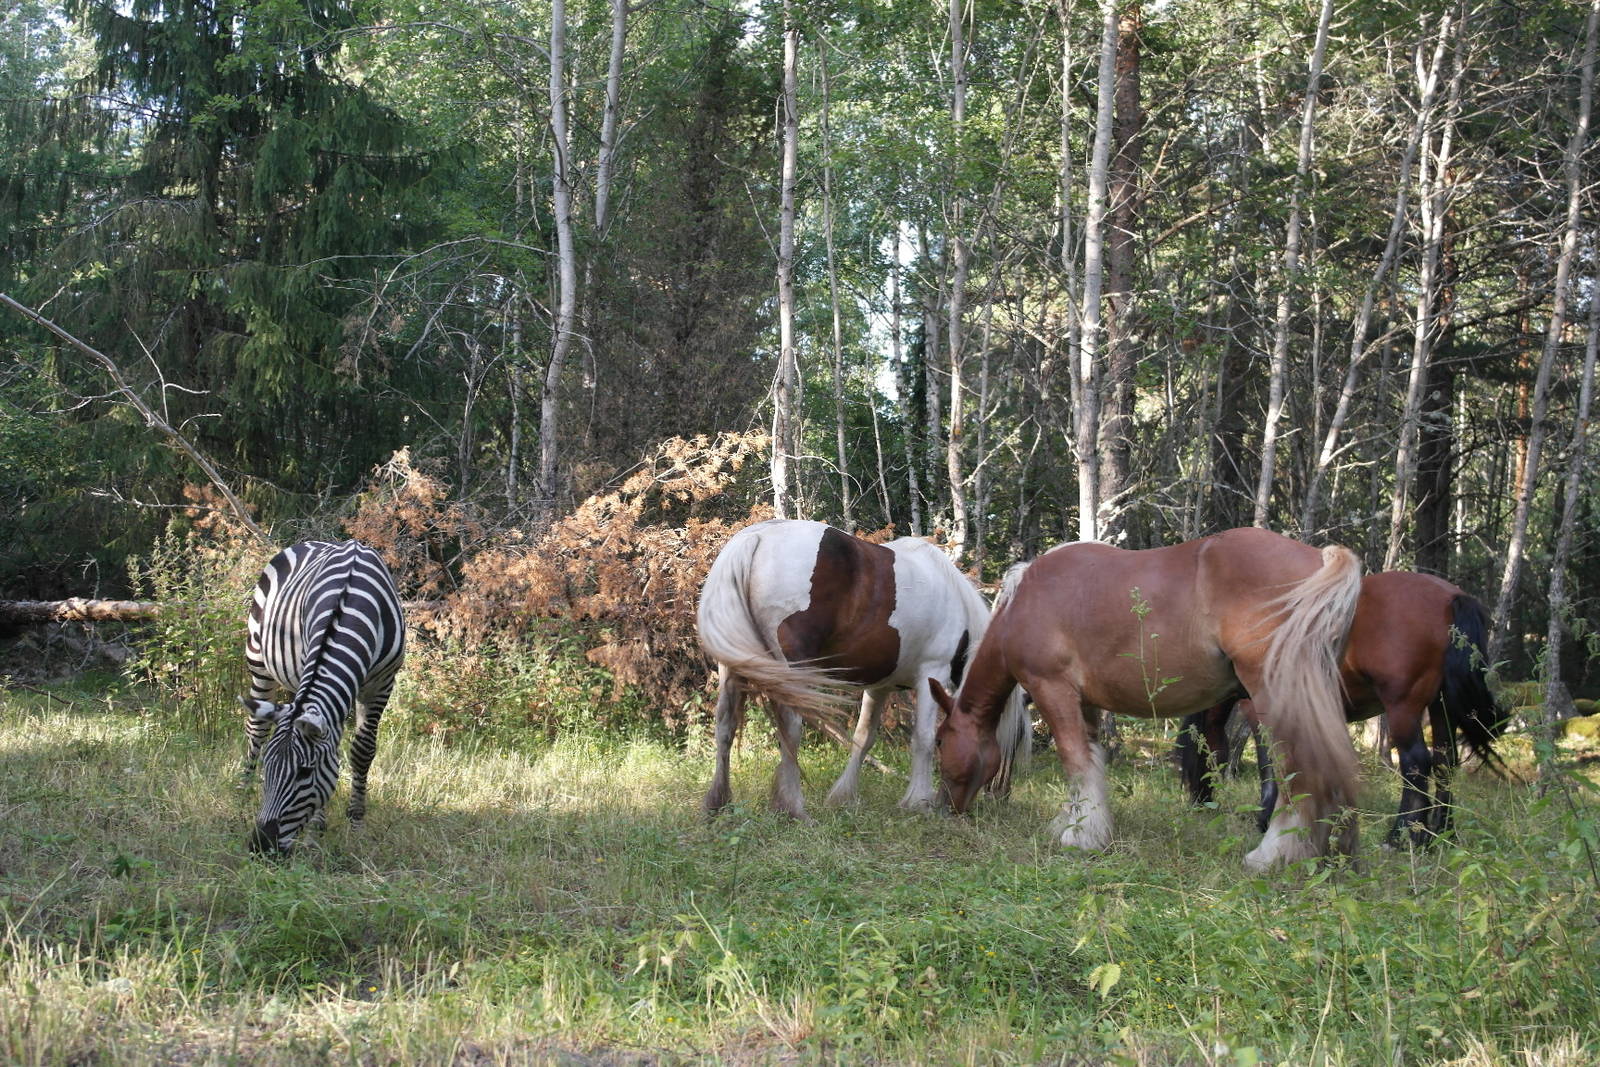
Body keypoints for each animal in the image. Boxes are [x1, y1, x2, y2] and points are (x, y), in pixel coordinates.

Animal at [238, 540, 405, 855]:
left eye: (305, 772)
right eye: (269, 766)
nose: (261, 846)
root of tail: (308, 542)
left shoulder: (382, 683)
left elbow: (363, 750)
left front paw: (356, 825)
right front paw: (316, 831)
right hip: (259, 661)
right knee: (256, 729)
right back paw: (240, 793)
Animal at [696, 518, 1029, 819]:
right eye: (1013, 742)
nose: (1001, 794)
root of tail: (758, 537)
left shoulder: (881, 686)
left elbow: (863, 738)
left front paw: (843, 796)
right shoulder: (932, 675)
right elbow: (922, 739)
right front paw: (919, 801)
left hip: (734, 666)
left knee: (725, 725)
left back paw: (718, 802)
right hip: (791, 671)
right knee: (790, 727)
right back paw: (793, 807)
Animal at [930, 527, 1363, 873]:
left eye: (938, 742)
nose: (945, 807)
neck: (1023, 602)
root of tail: (1322, 558)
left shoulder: (1052, 689)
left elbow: (1074, 760)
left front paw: (1080, 838)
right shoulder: (1085, 702)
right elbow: (1090, 760)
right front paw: (1079, 824)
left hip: (1273, 698)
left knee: (1298, 773)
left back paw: (1271, 854)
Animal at [1175, 571, 1509, 846]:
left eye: (1195, 754)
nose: (1198, 801)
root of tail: (1450, 596)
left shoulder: (1258, 710)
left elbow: (1269, 763)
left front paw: (1265, 818)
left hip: (1403, 707)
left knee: (1416, 763)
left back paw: (1401, 837)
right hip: (1441, 708)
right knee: (1444, 761)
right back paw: (1441, 833)